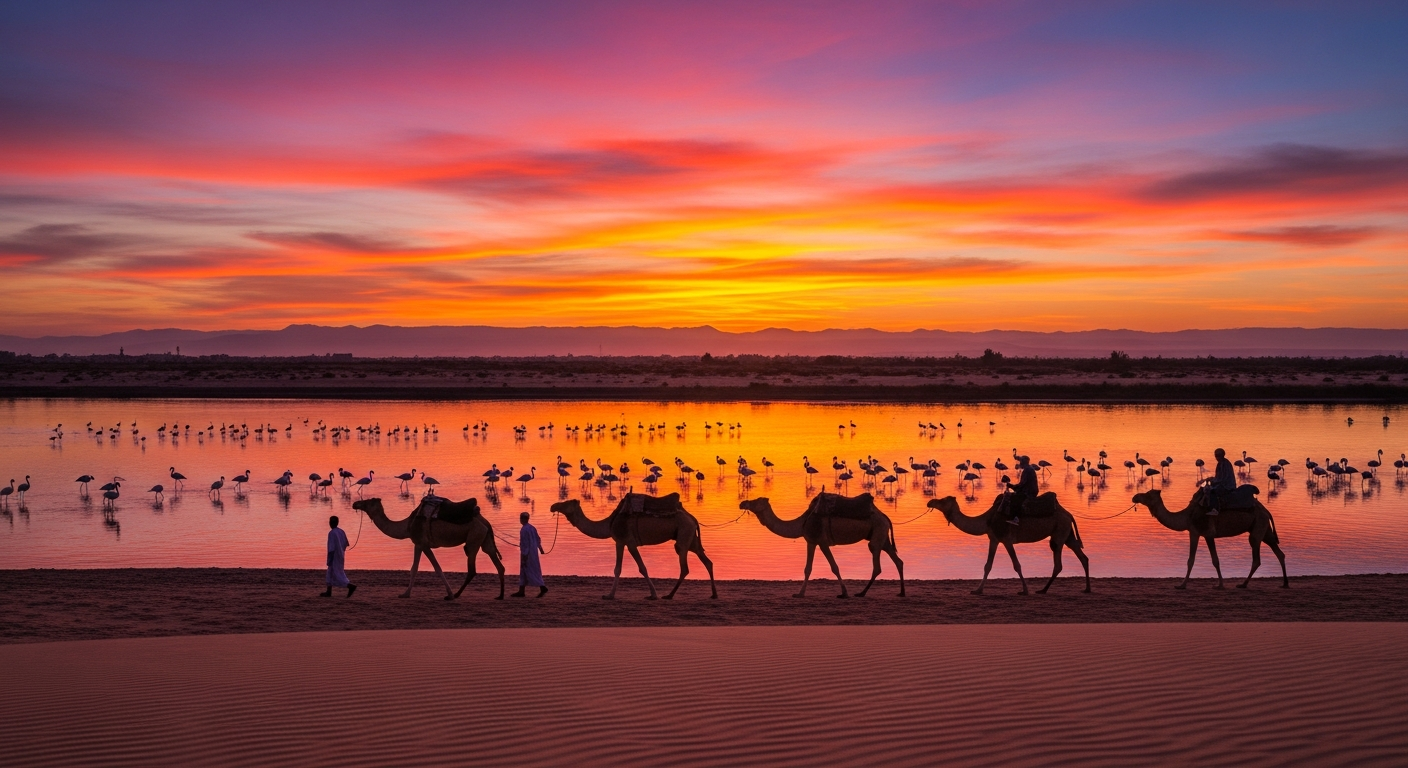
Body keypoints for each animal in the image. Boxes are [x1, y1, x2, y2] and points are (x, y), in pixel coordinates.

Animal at [351, 497, 506, 600]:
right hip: (485, 539)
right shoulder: (417, 544)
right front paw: (405, 594)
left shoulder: (423, 544)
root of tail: (484, 521)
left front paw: (449, 593)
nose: (355, 503)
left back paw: (456, 594)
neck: (407, 525)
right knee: (498, 564)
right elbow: (414, 569)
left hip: (474, 537)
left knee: (472, 568)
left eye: (368, 501)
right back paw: (500, 595)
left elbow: (437, 568)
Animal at [549, 496, 717, 600]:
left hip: (683, 535)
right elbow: (617, 569)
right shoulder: (620, 542)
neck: (610, 523)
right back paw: (714, 594)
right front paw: (609, 595)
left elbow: (642, 568)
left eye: (566, 502)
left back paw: (669, 595)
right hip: (691, 539)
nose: (553, 506)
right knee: (707, 561)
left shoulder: (629, 542)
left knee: (685, 566)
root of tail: (693, 519)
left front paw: (653, 595)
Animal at [738, 496, 904, 598]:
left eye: (756, 500)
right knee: (898, 560)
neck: (803, 522)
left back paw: (861, 593)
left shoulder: (822, 542)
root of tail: (885, 517)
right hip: (882, 536)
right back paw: (902, 592)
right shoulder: (811, 541)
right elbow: (807, 568)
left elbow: (834, 567)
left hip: (877, 533)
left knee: (877, 563)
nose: (742, 503)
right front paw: (799, 594)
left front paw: (844, 593)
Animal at [927, 494, 1090, 595]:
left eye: (943, 500)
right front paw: (978, 590)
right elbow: (987, 565)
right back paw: (1086, 589)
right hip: (1067, 534)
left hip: (1059, 532)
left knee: (1058, 562)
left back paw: (1043, 590)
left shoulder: (1006, 539)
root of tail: (1069, 514)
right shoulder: (994, 539)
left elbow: (1016, 565)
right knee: (1082, 556)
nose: (930, 501)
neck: (988, 520)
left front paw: (1025, 590)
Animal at [1132, 488, 1287, 589]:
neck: (1187, 516)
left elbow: (1213, 560)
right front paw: (1182, 584)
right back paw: (1285, 583)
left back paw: (1243, 584)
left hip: (1258, 528)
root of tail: (1267, 511)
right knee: (1279, 553)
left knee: (1256, 557)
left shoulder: (1206, 533)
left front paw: (1219, 585)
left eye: (1147, 494)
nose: (1134, 497)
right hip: (1264, 529)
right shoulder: (1194, 532)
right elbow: (1192, 560)